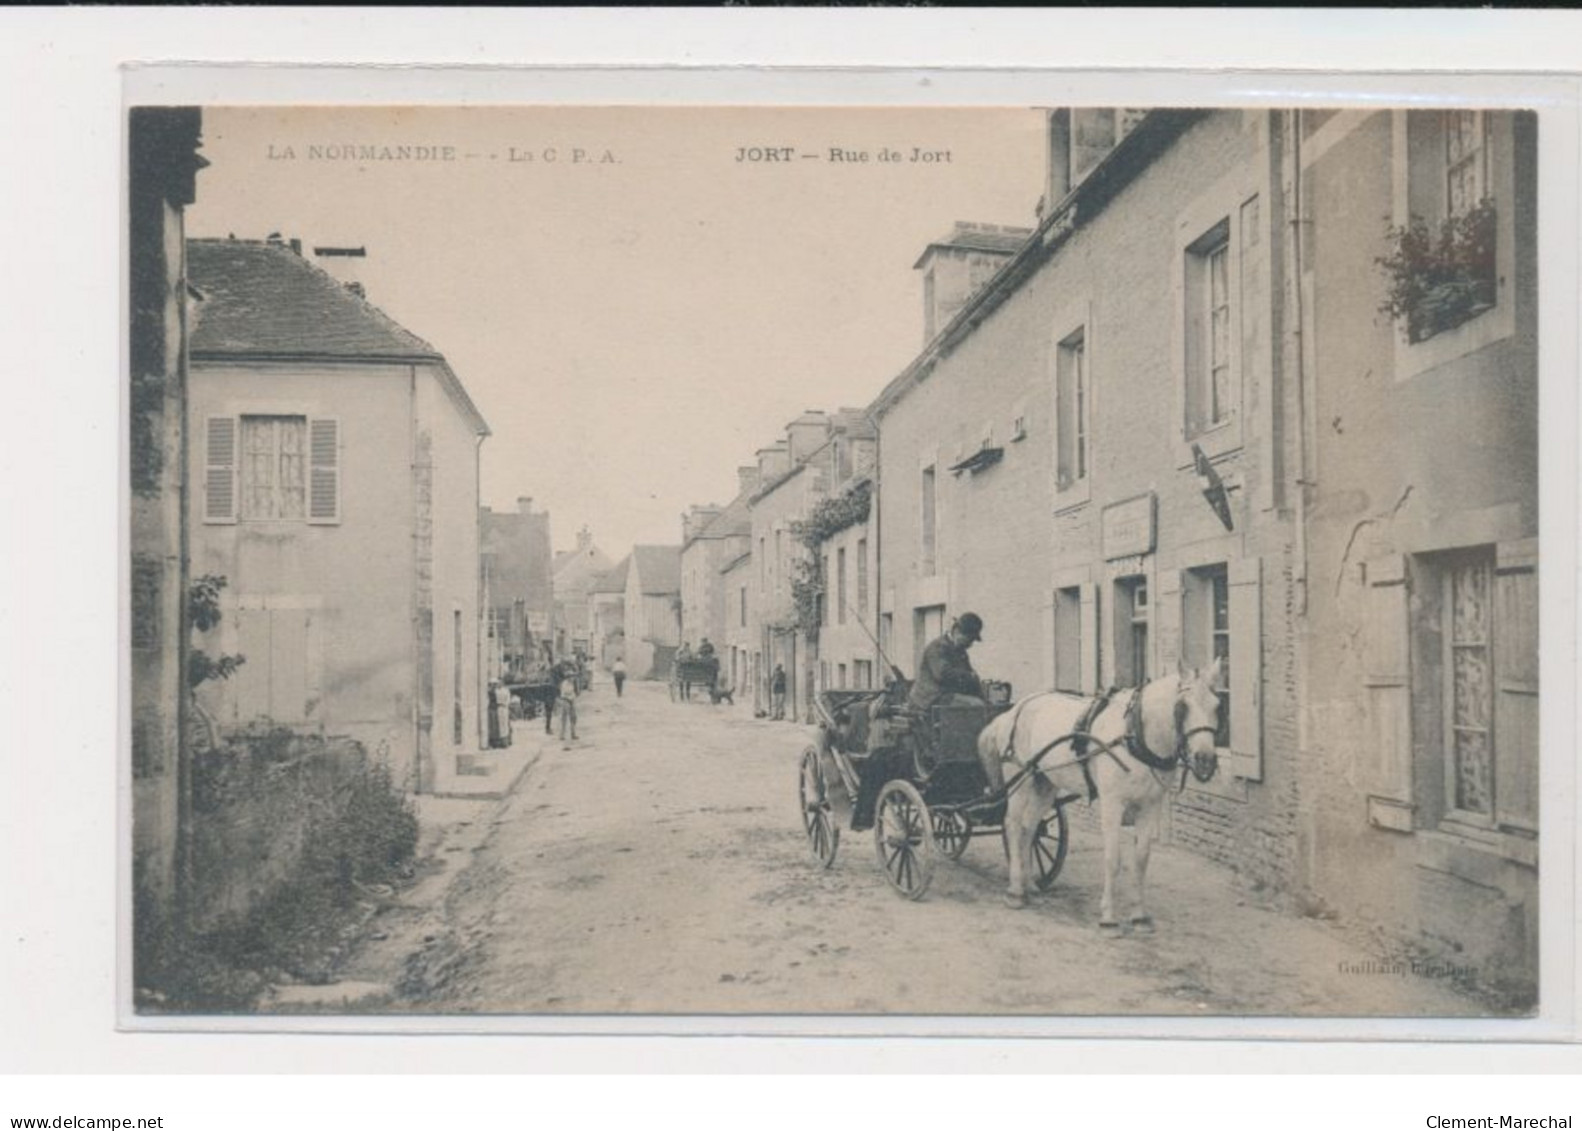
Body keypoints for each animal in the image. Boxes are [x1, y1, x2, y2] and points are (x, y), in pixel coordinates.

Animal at [987, 658, 1221, 936]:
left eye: (1218, 705)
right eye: (1183, 706)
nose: (1205, 760)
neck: (1133, 734)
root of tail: (1014, 710)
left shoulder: (1149, 805)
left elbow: (1141, 859)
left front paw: (1139, 916)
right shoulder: (1112, 803)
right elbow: (1113, 859)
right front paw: (1108, 918)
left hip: (1045, 783)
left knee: (1029, 829)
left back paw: (1029, 885)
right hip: (1020, 782)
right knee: (1013, 826)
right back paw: (1014, 891)